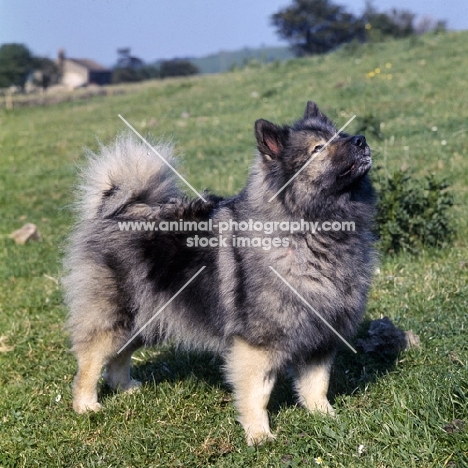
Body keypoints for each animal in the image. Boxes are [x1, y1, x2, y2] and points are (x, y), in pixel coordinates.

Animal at [63, 100, 376, 444]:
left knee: (119, 356)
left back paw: (126, 388)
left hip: (145, 316)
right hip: (116, 315)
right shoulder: (258, 343)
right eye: (318, 149)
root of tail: (120, 209)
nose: (360, 139)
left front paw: (325, 416)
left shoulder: (321, 333)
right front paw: (259, 436)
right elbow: (258, 394)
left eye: (340, 135)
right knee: (91, 360)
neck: (311, 232)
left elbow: (317, 383)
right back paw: (86, 405)